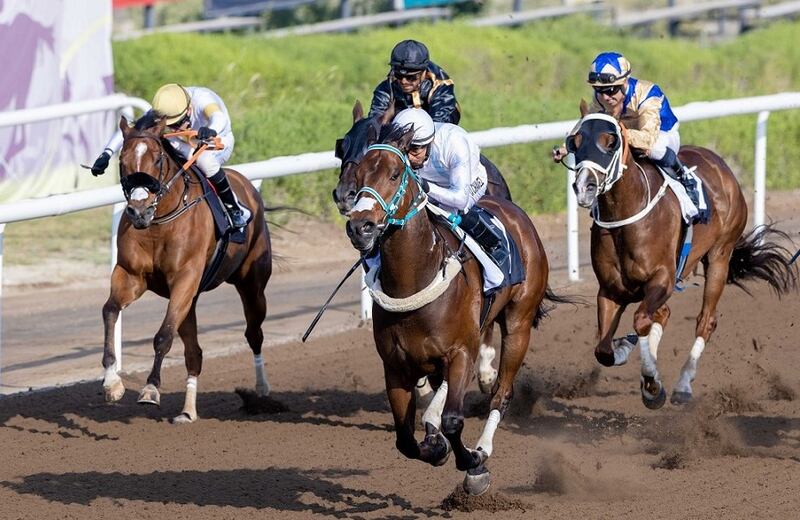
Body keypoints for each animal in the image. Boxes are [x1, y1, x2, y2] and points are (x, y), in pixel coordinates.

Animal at [99, 114, 276, 422]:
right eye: (122, 160)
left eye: (157, 159)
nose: (138, 211)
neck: (159, 221)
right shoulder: (131, 275)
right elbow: (110, 310)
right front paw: (112, 382)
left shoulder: (185, 278)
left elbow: (163, 336)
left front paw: (150, 389)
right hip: (190, 300)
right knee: (194, 353)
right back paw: (188, 411)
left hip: (252, 286)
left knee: (254, 334)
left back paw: (261, 389)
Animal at [346, 122, 552, 496]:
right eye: (358, 173)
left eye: (395, 174)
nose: (360, 226)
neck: (415, 278)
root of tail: (514, 212)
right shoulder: (395, 367)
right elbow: (405, 441)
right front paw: (435, 446)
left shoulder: (460, 353)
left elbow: (454, 421)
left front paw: (473, 464)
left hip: (519, 323)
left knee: (501, 394)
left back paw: (483, 445)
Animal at [568, 103, 792, 408]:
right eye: (575, 141)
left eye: (611, 140)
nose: (584, 186)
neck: (626, 215)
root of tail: (720, 164)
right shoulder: (610, 290)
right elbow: (603, 350)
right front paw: (628, 354)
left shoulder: (662, 279)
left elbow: (641, 320)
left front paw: (652, 382)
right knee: (661, 315)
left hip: (720, 256)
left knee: (705, 321)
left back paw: (684, 385)